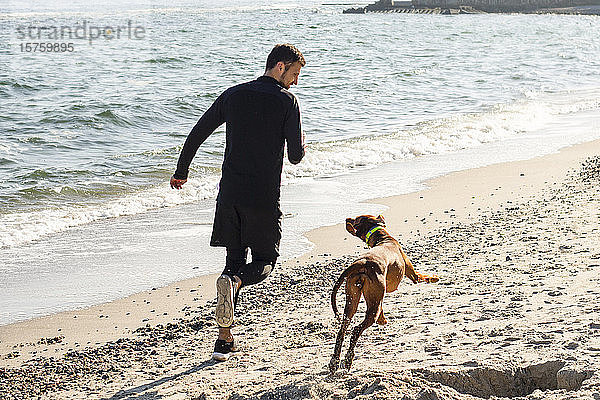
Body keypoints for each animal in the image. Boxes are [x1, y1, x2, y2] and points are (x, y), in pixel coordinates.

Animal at [330, 214, 438, 374]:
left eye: (356, 218)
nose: (346, 219)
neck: (383, 237)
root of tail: (362, 262)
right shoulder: (413, 276)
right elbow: (423, 276)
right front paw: (435, 277)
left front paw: (383, 320)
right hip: (371, 303)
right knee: (356, 330)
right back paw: (348, 360)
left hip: (352, 299)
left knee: (342, 331)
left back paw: (334, 361)